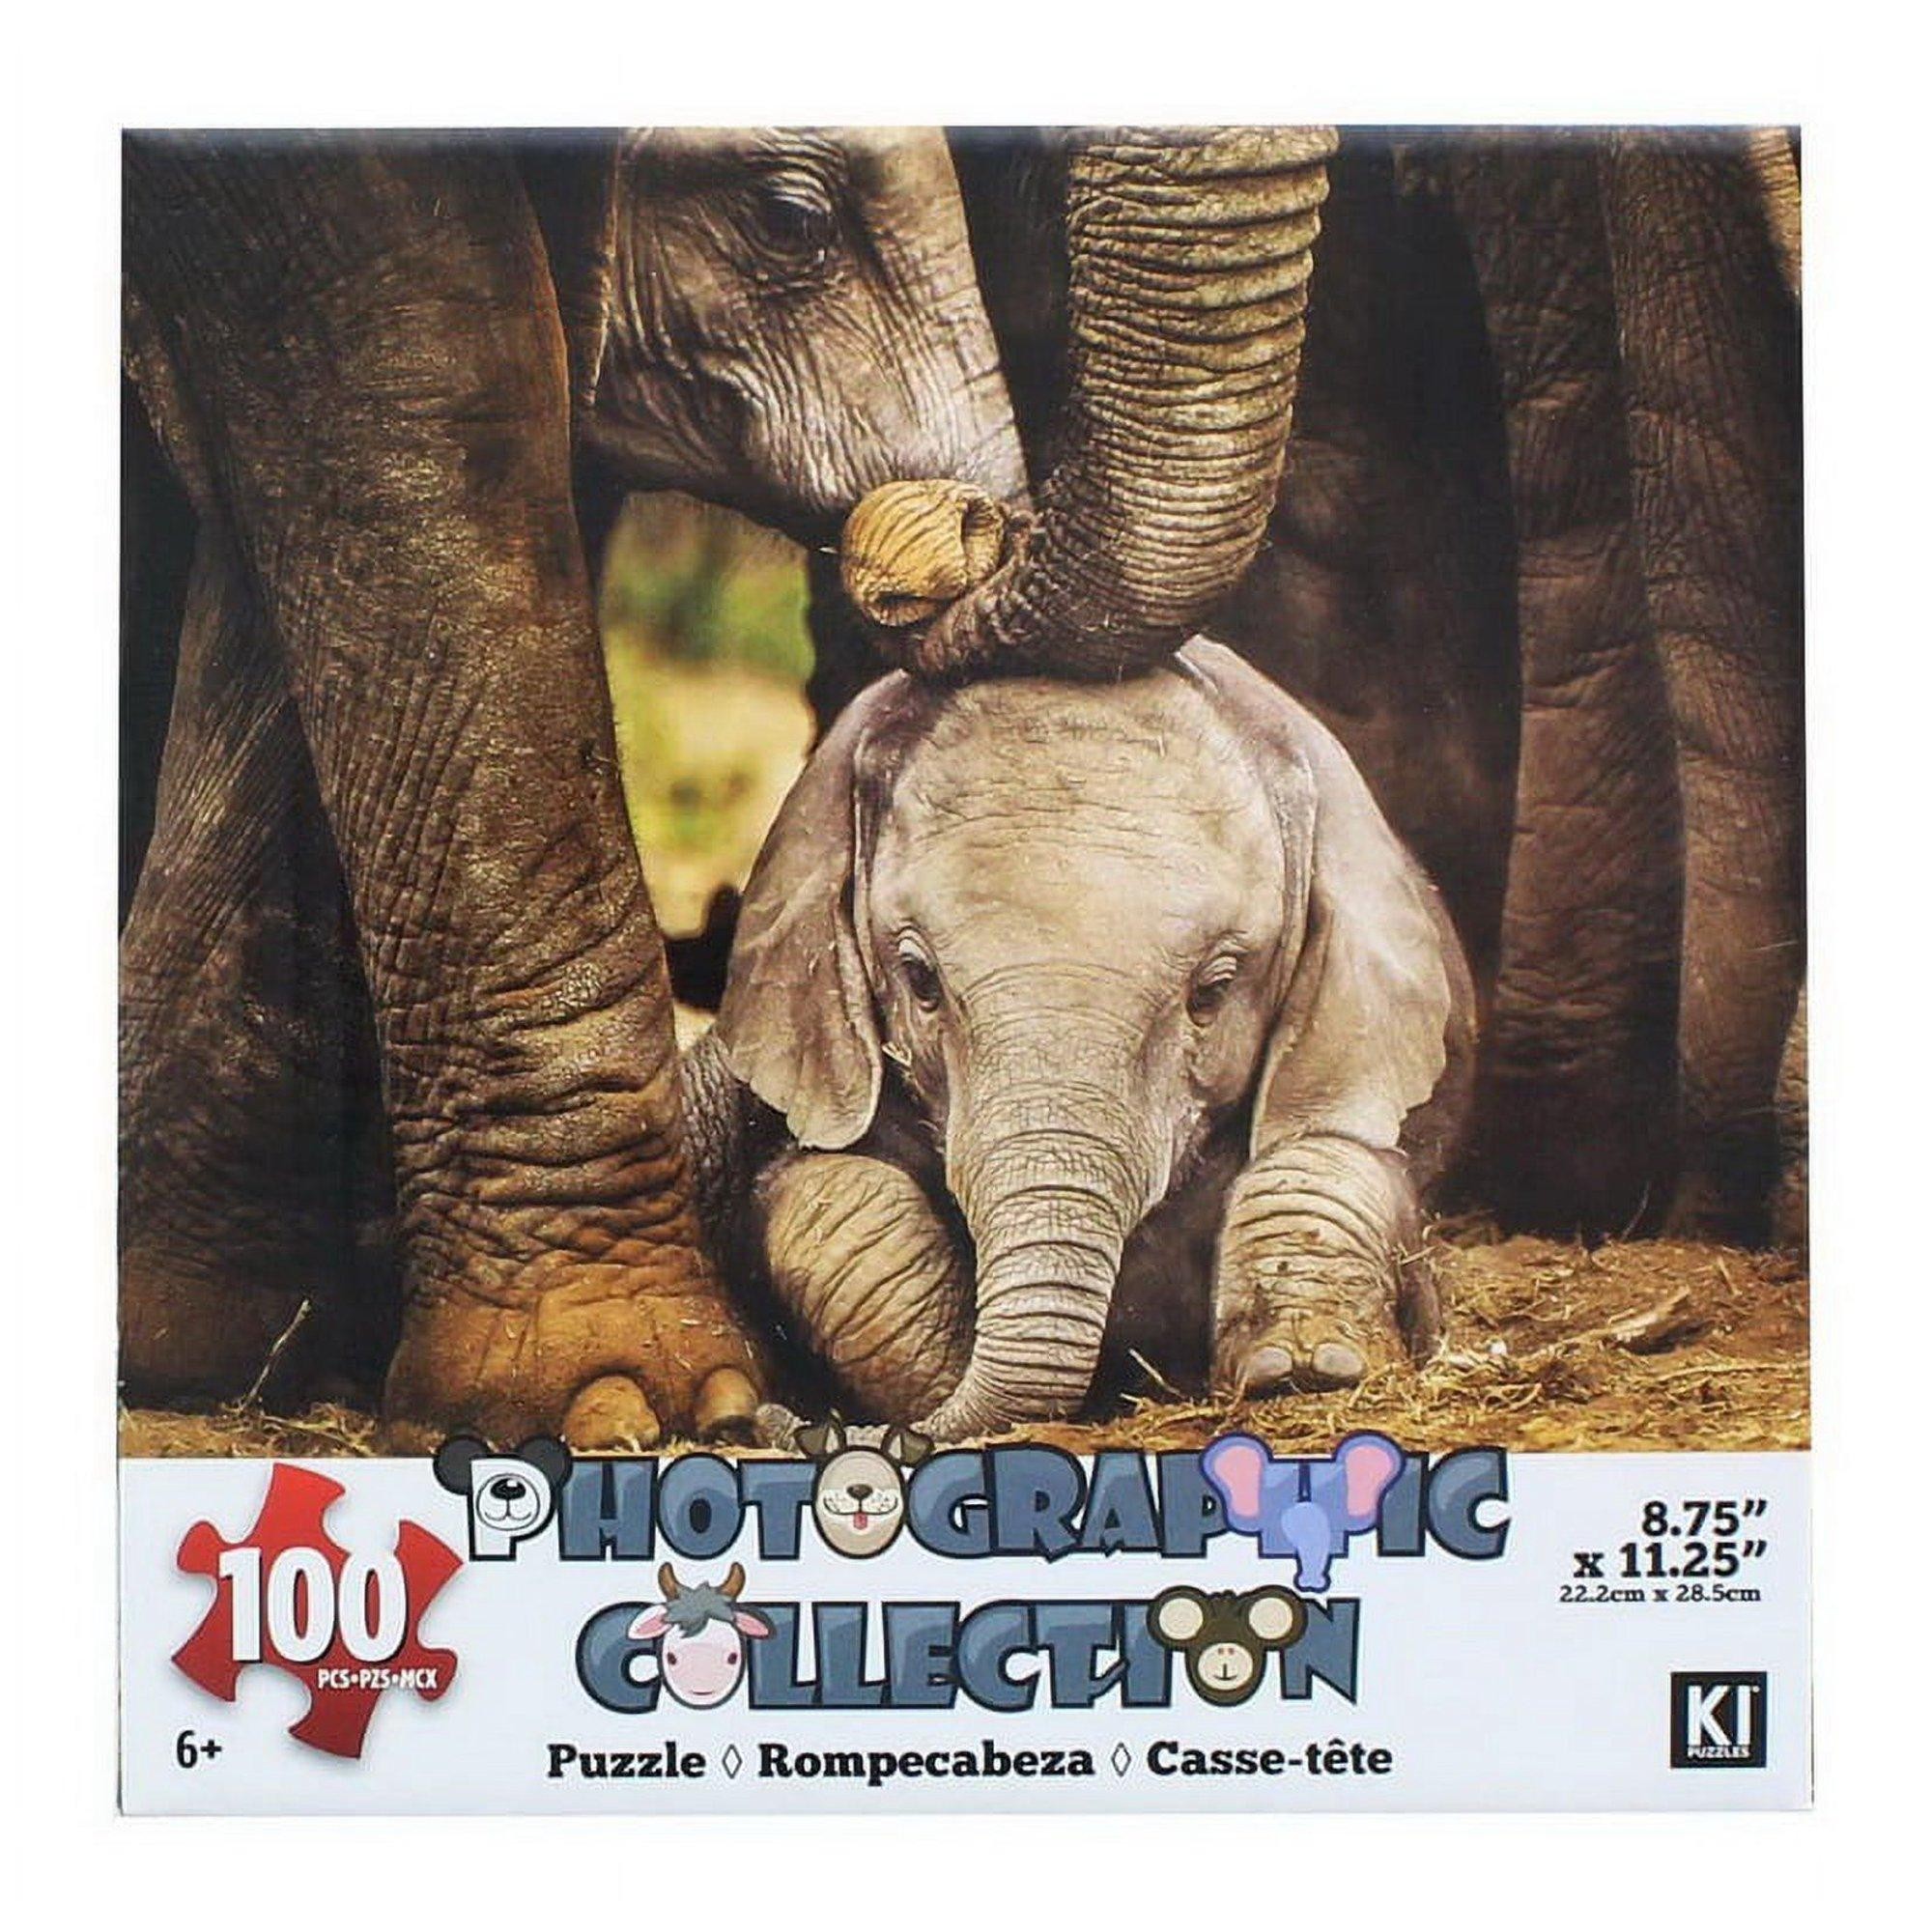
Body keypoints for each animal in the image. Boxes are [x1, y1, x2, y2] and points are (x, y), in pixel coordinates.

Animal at [683, 639, 1475, 1438]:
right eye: (919, 978)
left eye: (1213, 991)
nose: (773, 1424)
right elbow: (833, 1197)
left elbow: (1329, 1155)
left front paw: (1303, 1368)